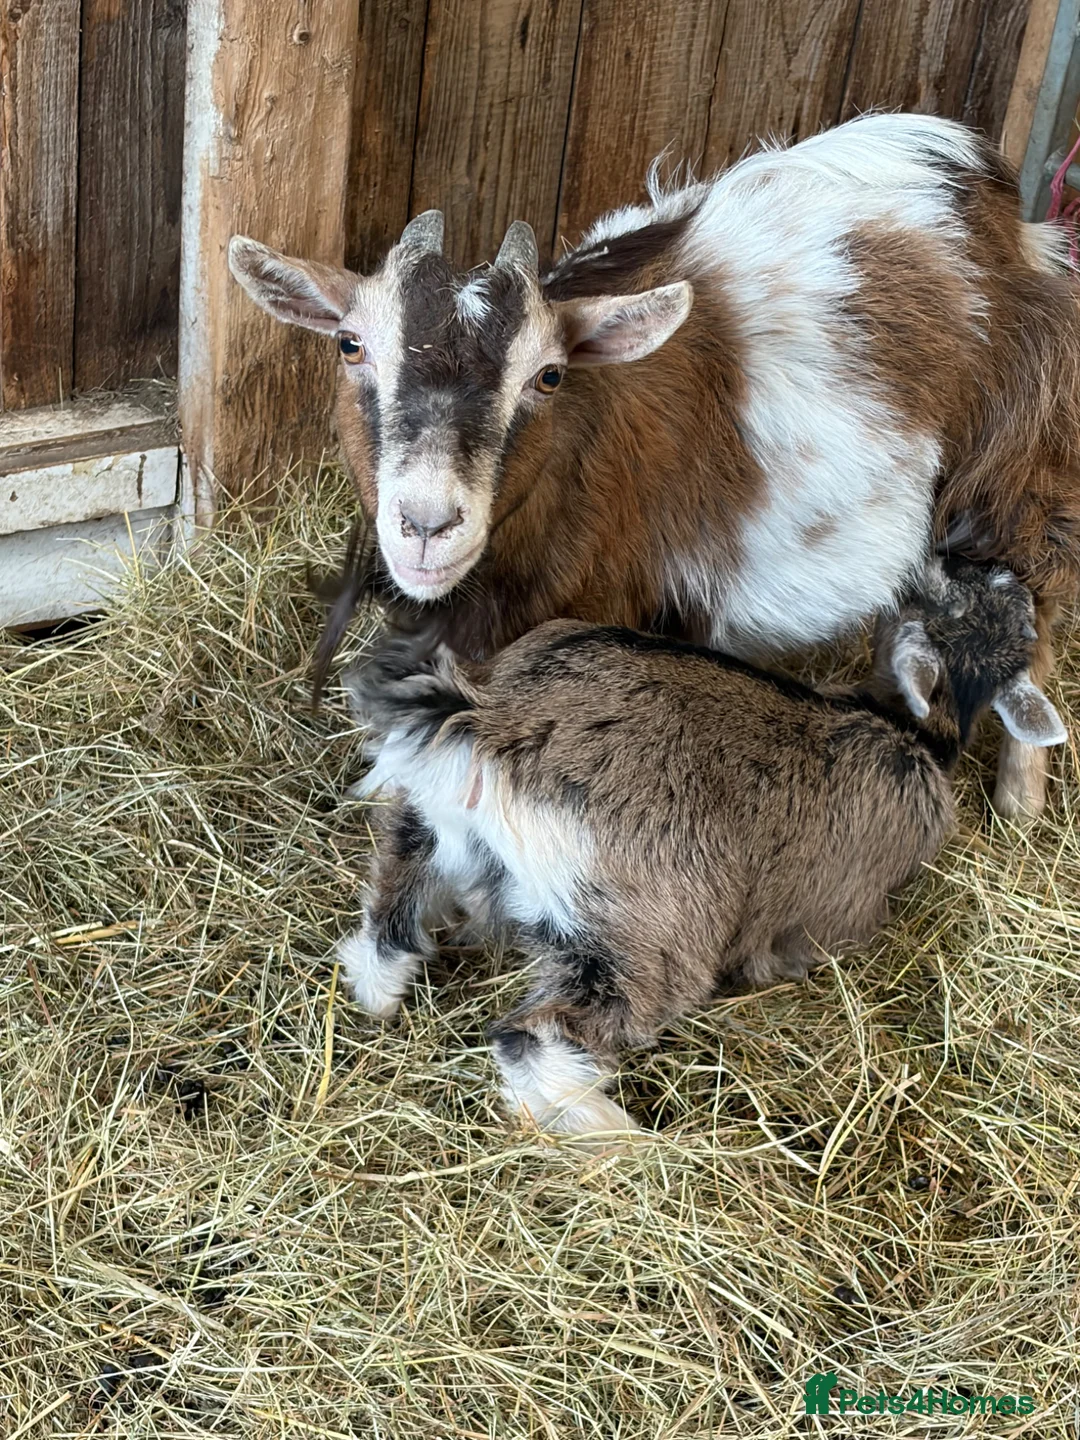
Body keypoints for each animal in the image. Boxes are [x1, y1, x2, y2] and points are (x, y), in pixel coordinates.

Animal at [229, 112, 1080, 818]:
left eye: (549, 376)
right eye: (350, 344)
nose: (428, 523)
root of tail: (998, 210)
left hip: (1019, 488)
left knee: (1036, 617)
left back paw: (1020, 800)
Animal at [337, 557, 1065, 1141]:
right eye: (991, 610)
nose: (1004, 573)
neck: (906, 731)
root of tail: (496, 722)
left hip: (431, 831)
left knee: (388, 918)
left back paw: (379, 999)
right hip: (644, 937)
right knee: (533, 1038)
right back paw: (615, 1137)